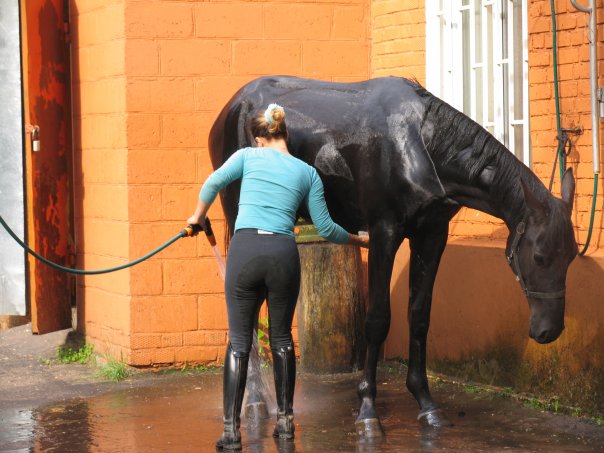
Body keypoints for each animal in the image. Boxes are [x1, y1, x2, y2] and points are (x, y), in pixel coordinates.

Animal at [209, 77, 580, 434]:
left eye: (572, 256)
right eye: (540, 257)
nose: (550, 330)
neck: (423, 146)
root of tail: (230, 108)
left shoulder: (431, 235)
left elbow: (419, 316)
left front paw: (426, 404)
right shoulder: (384, 234)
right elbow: (377, 320)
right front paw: (367, 410)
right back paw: (255, 401)